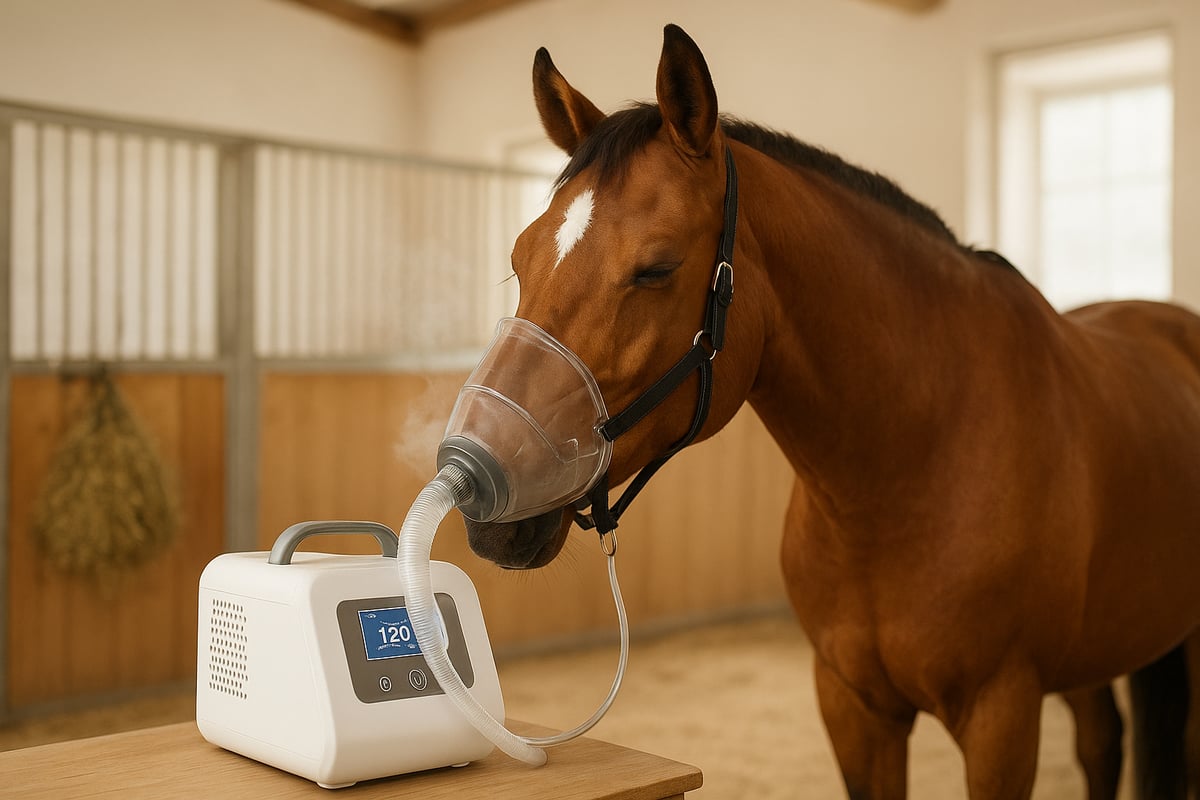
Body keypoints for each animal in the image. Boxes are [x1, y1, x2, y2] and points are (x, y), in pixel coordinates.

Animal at [459, 24, 1200, 799]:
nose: (484, 482)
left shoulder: (1003, 716)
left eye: (656, 269)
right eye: (520, 258)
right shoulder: (853, 708)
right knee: (1102, 740)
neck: (914, 466)